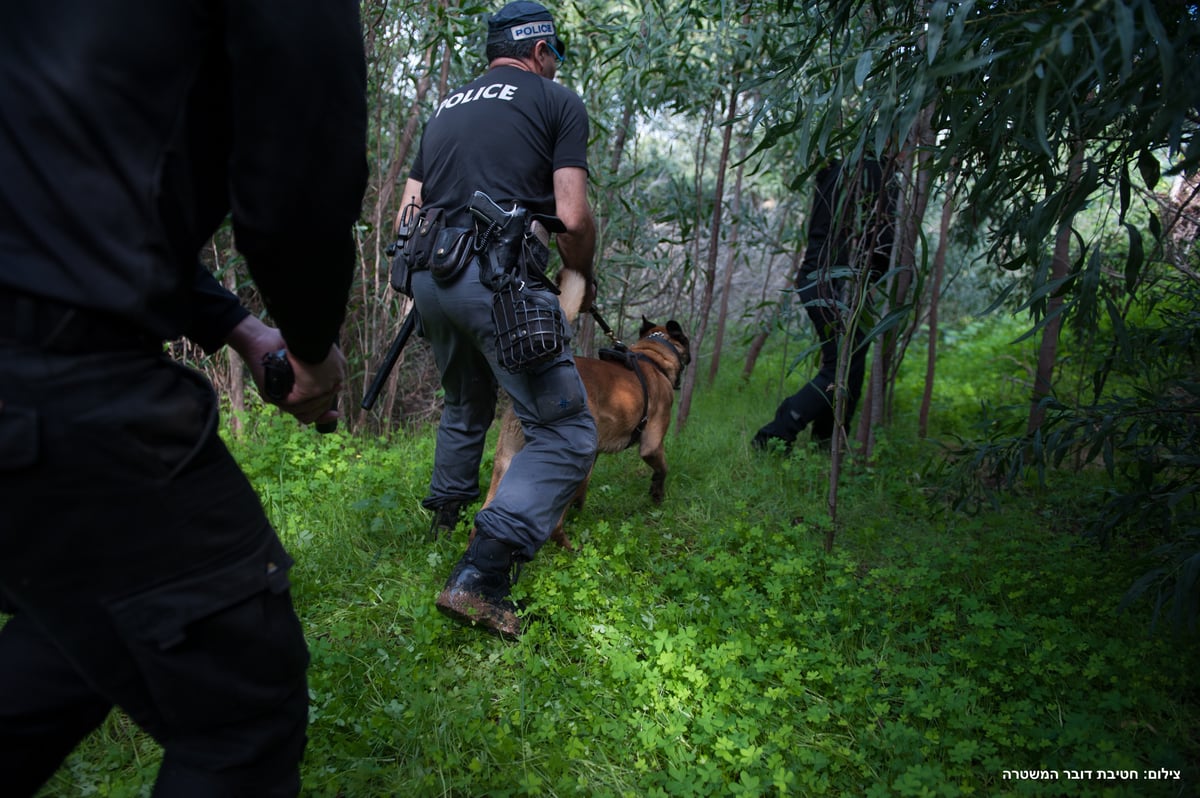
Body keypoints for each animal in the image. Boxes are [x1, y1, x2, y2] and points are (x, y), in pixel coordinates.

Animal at [480, 314, 691, 552]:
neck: (652, 358)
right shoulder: (652, 445)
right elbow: (662, 469)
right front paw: (657, 494)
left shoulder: (594, 454)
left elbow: (584, 489)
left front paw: (579, 513)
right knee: (554, 525)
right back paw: (571, 549)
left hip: (506, 462)